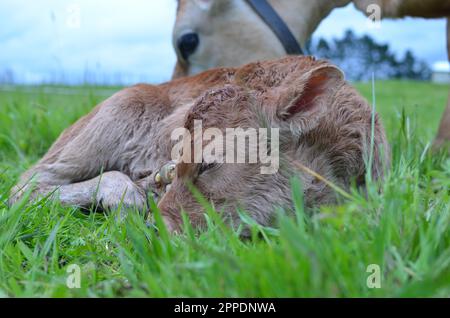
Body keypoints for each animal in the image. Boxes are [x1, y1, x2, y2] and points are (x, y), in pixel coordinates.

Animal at [10, 56, 390, 232]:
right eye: (177, 156)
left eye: (209, 162)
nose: (157, 228)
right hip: (113, 115)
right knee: (26, 185)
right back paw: (126, 195)